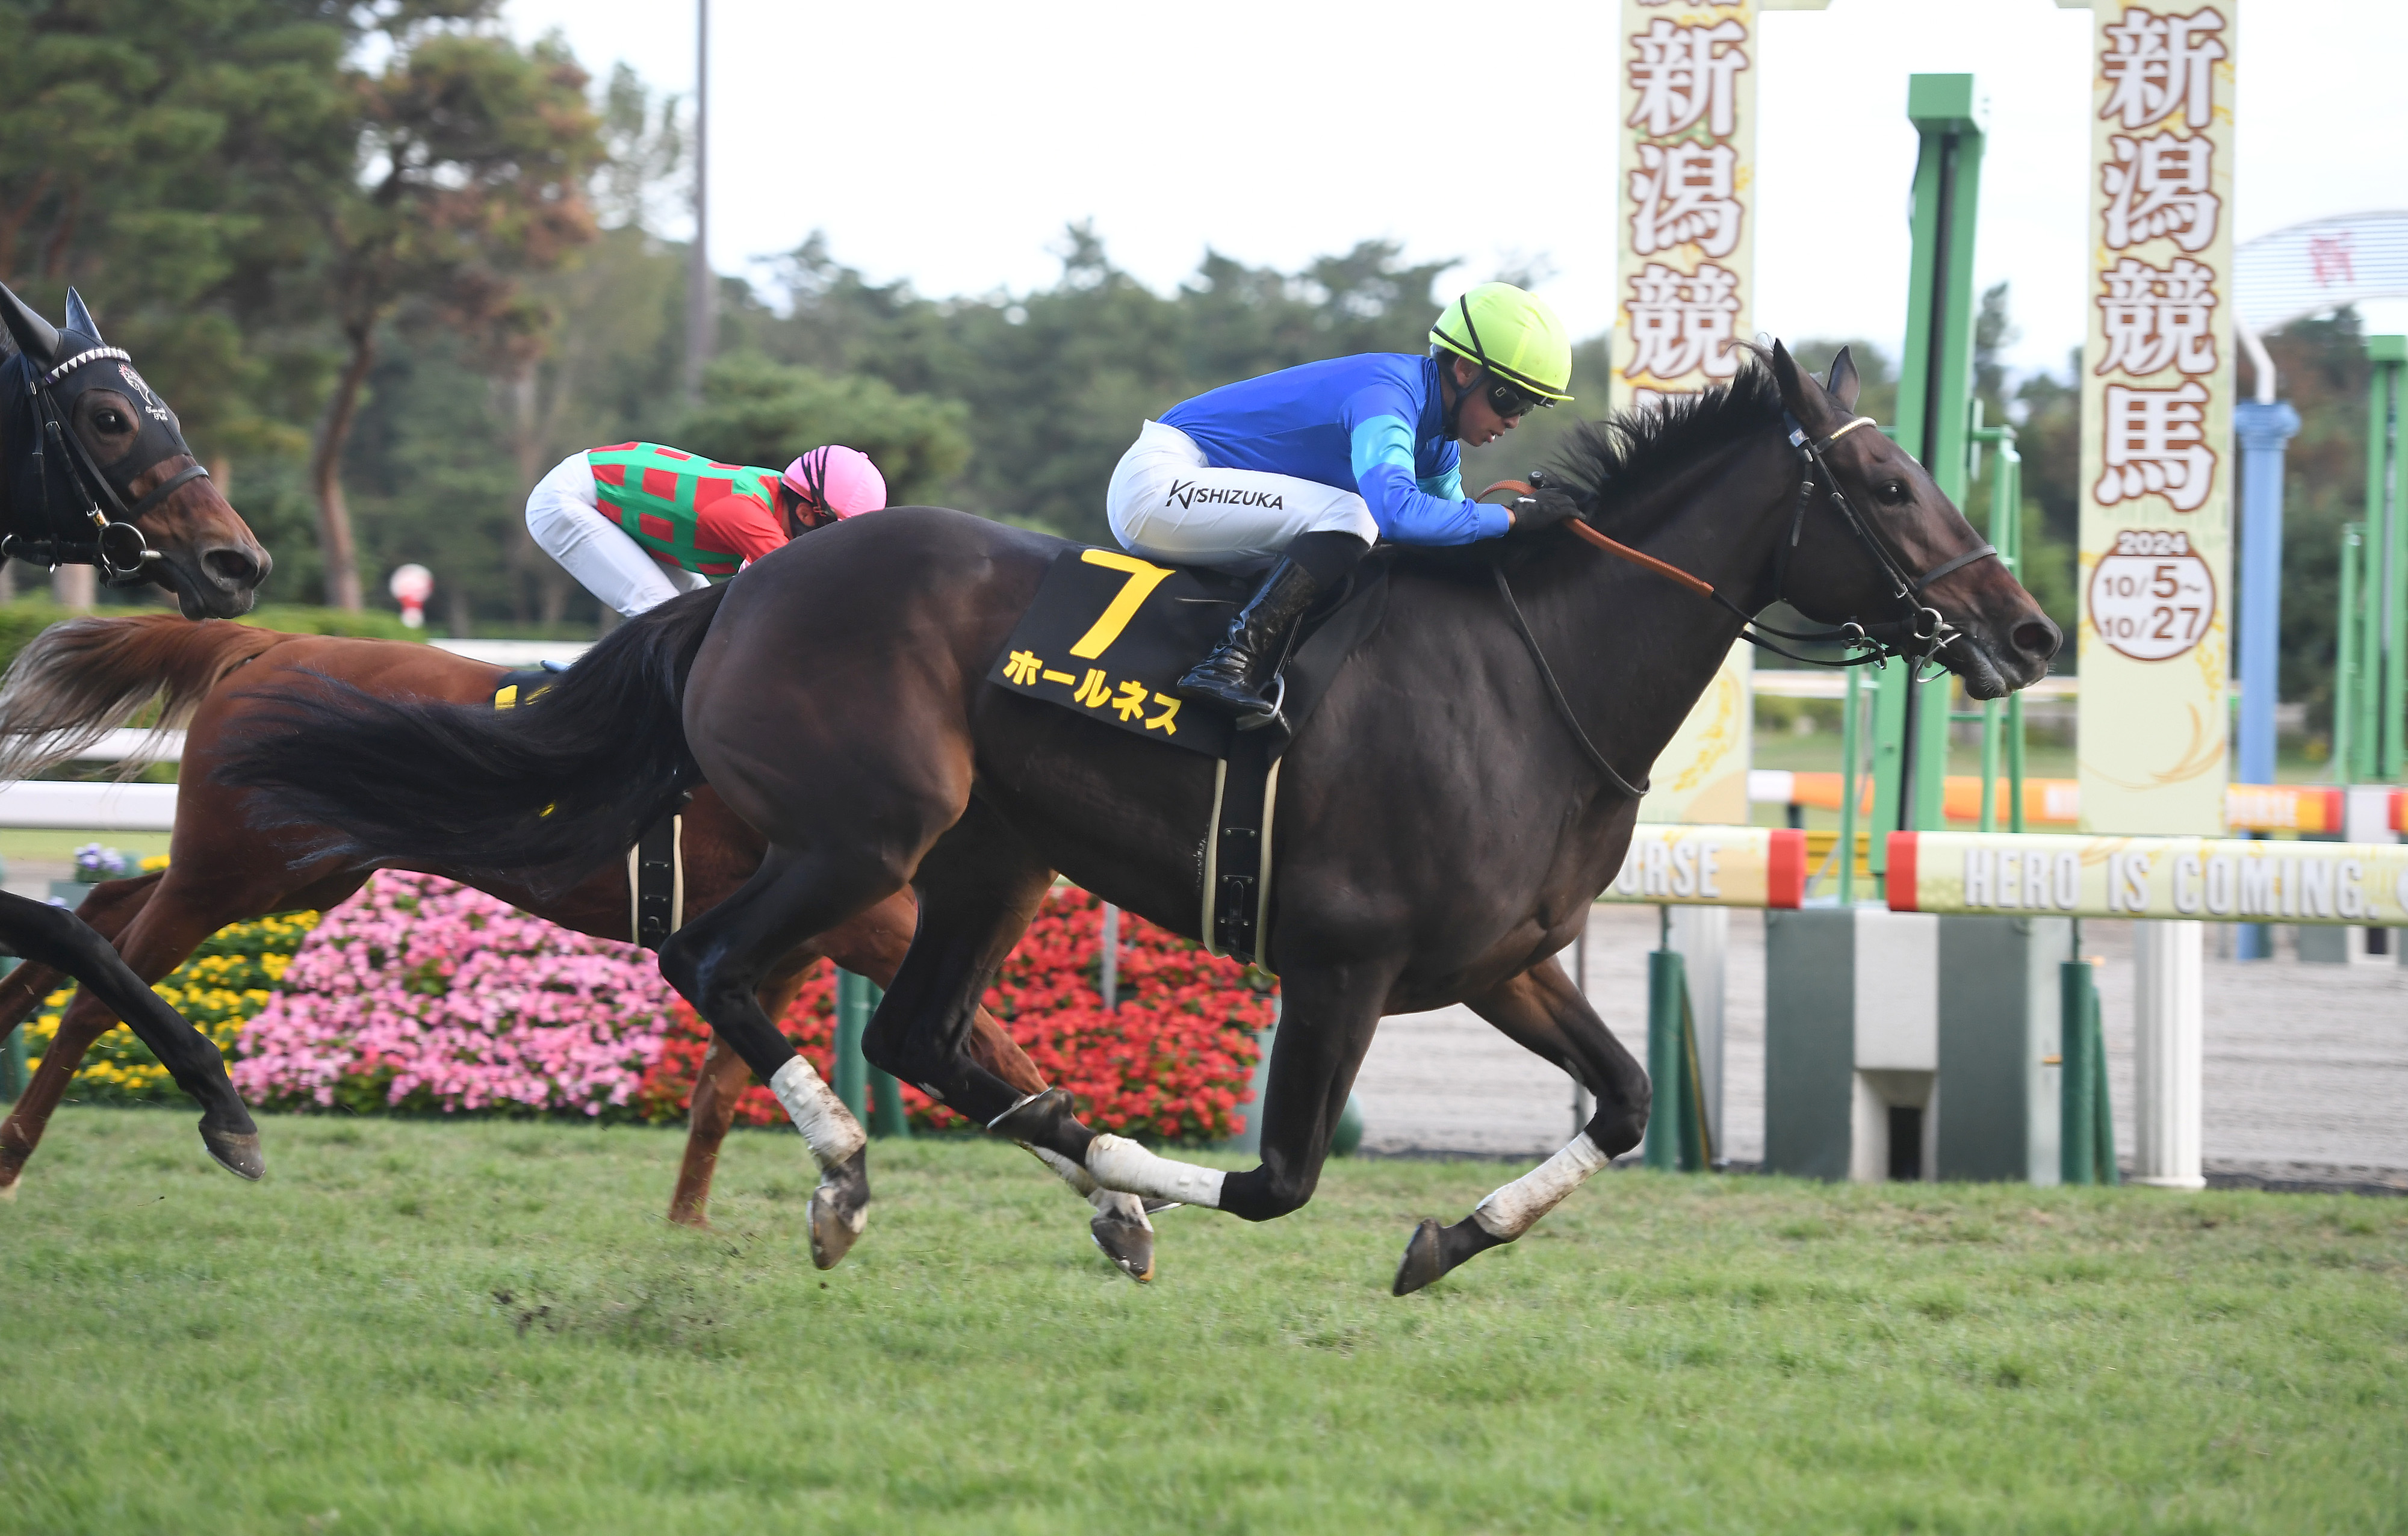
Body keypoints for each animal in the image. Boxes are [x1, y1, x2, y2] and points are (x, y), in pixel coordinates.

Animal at [0, 280, 281, 1183]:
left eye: (173, 415)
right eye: (110, 417)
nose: (240, 563)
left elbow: (77, 934)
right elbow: (73, 933)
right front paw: (223, 1098)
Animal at [0, 616, 1168, 1278]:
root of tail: (269, 644)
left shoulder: (795, 942)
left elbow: (723, 1086)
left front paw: (696, 1222)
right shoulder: (872, 923)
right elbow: (996, 1053)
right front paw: (1120, 1203)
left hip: (300, 870)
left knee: (97, 911)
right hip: (239, 869)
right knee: (104, 985)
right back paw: (59, 1146)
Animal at [219, 344, 2060, 1292]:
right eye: (1883, 483)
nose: (2032, 631)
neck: (1536, 674)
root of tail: (745, 584)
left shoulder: (1501, 959)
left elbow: (1617, 1106)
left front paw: (1446, 1237)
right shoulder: (1342, 963)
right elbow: (1277, 1181)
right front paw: (1170, 1185)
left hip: (995, 857)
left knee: (930, 1038)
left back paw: (1050, 1180)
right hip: (861, 834)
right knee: (724, 967)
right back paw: (851, 1178)